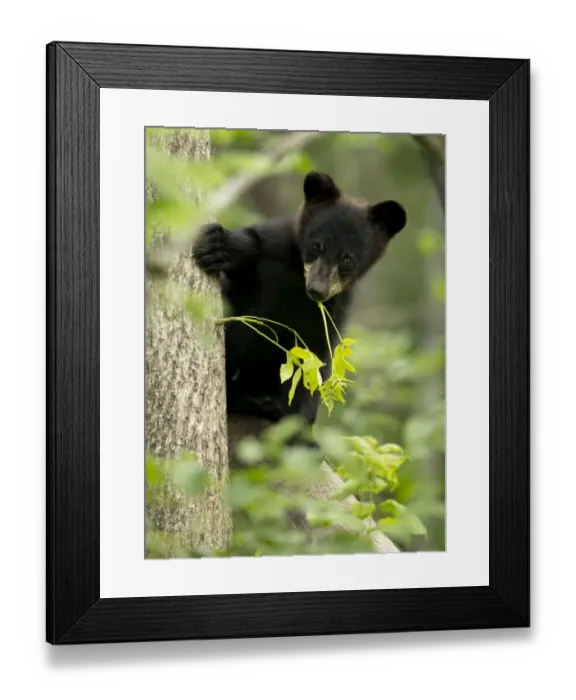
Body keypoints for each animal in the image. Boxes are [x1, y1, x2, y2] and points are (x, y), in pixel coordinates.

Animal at [193, 171, 407, 428]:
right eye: (316, 246)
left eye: (347, 259)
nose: (317, 290)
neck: (297, 280)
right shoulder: (274, 248)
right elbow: (254, 244)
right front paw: (217, 246)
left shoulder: (332, 311)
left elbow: (315, 360)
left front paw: (295, 416)